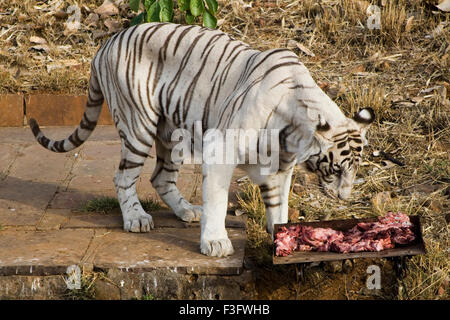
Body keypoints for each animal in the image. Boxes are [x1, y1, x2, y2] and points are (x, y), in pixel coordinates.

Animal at [29, 22, 374, 258]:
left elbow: (279, 207)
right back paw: (137, 218)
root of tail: (106, 44)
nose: (344, 198)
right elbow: (218, 201)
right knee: (123, 177)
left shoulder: (278, 168)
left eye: (355, 170)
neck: (291, 134)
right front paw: (216, 242)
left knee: (160, 176)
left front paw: (281, 236)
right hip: (138, 125)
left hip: (172, 135)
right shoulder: (221, 150)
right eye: (337, 169)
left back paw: (186, 211)